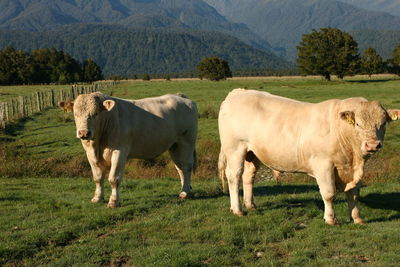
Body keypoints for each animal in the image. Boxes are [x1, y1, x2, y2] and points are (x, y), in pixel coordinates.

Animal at [61, 93, 198, 208]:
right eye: (75, 114)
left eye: (95, 114)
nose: (84, 133)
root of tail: (180, 97)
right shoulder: (90, 155)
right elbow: (98, 177)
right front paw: (97, 198)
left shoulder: (119, 151)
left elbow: (113, 178)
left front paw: (113, 201)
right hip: (174, 146)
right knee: (180, 168)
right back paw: (184, 189)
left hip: (186, 142)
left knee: (187, 167)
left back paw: (185, 192)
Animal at [219, 89, 400, 225]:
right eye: (357, 124)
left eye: (383, 123)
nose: (372, 145)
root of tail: (239, 92)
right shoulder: (323, 164)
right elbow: (329, 193)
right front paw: (330, 219)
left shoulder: (352, 169)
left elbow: (354, 193)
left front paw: (357, 218)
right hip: (235, 148)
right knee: (234, 176)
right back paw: (237, 210)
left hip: (252, 153)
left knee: (248, 176)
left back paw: (251, 205)